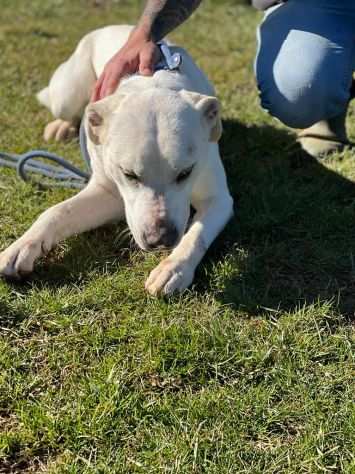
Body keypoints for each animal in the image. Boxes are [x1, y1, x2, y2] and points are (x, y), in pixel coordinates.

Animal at [0, 25, 234, 294]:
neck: (153, 83)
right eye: (128, 174)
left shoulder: (217, 199)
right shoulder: (108, 192)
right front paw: (21, 247)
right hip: (65, 98)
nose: (160, 239)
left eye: (185, 173)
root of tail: (113, 26)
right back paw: (62, 126)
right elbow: (57, 211)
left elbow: (197, 235)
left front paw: (174, 268)